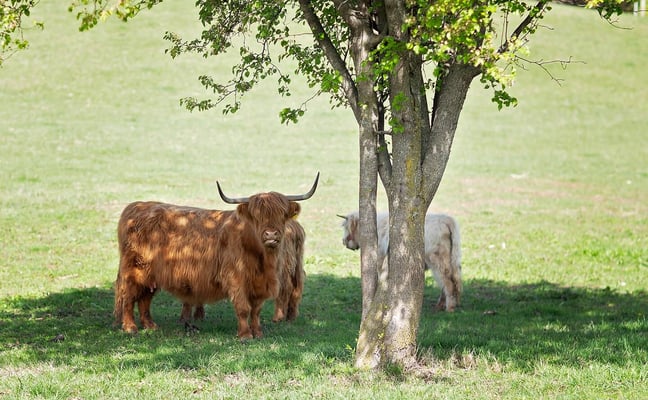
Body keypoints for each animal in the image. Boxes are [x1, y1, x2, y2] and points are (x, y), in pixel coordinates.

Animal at [114, 174, 318, 339]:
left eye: (282, 214)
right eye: (256, 216)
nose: (271, 235)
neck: (261, 260)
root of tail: (136, 206)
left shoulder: (260, 284)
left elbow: (256, 311)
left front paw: (258, 333)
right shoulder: (236, 278)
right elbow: (243, 308)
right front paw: (245, 335)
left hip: (151, 274)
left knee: (145, 298)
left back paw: (150, 326)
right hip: (134, 270)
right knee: (128, 295)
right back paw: (130, 327)